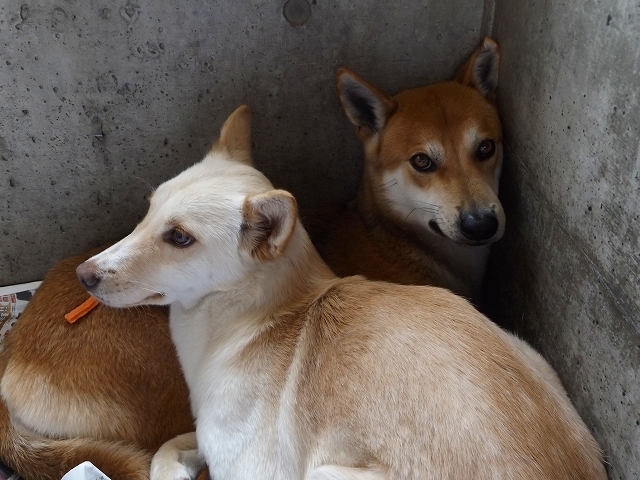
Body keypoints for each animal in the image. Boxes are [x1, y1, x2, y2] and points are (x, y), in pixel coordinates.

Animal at [79, 107, 604, 478]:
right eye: (148, 211)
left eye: (180, 237)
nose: (85, 274)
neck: (253, 318)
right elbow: (167, 448)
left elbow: (162, 459)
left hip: (324, 475)